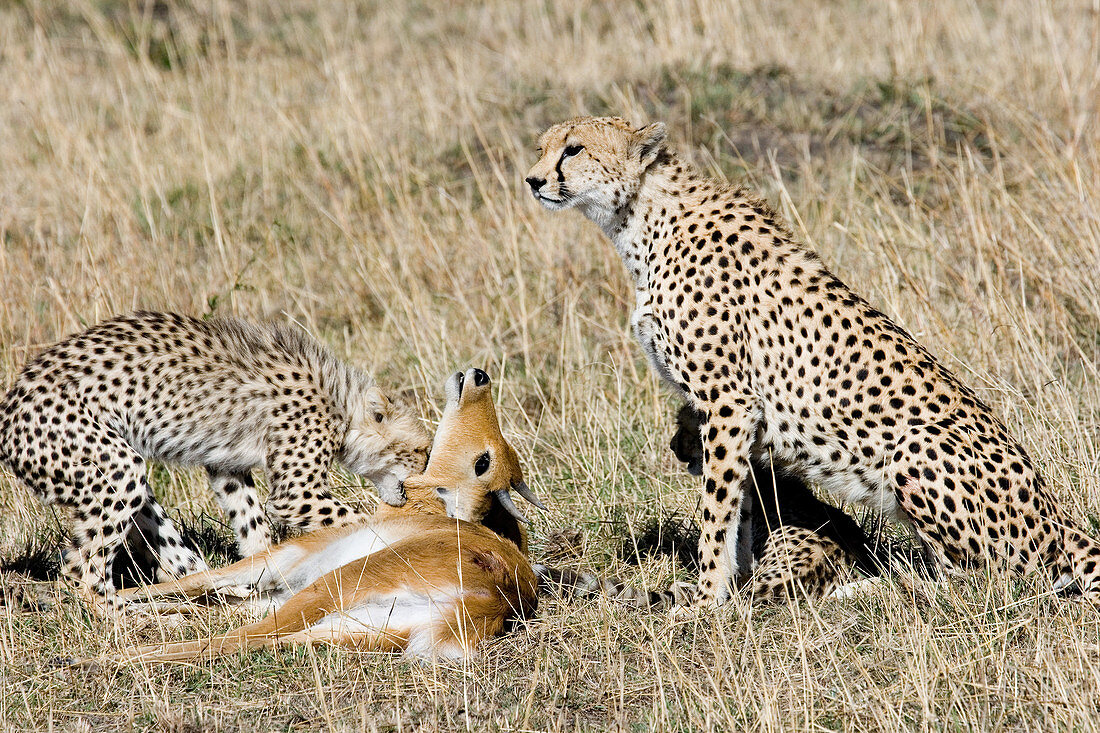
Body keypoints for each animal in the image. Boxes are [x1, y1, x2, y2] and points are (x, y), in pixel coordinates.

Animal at [0, 308, 429, 611]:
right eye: (422, 450)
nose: (422, 480)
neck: (341, 405)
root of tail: (9, 408)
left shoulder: (228, 469)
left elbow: (253, 524)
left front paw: (264, 570)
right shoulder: (296, 491)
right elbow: (356, 520)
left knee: (156, 555)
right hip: (116, 468)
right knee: (83, 573)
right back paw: (134, 616)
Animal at [523, 114, 1100, 603]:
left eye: (573, 149)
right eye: (541, 147)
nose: (531, 180)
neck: (640, 220)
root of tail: (1059, 517)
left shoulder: (729, 402)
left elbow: (716, 512)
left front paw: (704, 602)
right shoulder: (735, 419)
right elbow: (740, 510)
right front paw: (727, 588)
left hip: (914, 450)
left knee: (987, 583)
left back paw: (871, 591)